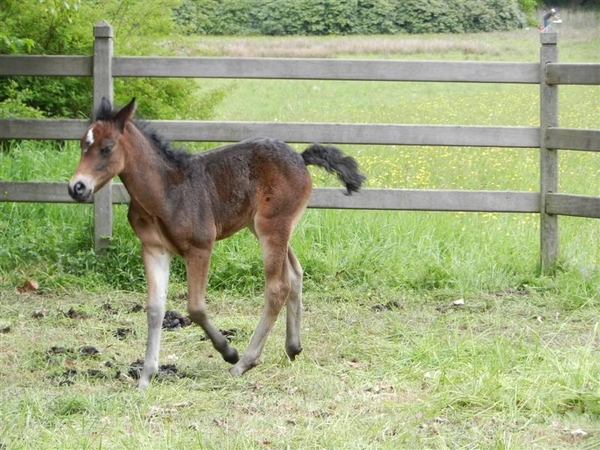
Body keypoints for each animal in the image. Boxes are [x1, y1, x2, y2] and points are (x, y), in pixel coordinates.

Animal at [68, 99, 364, 390]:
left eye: (107, 147)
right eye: (82, 143)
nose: (76, 188)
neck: (165, 191)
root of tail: (301, 158)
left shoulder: (200, 247)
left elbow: (196, 307)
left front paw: (228, 351)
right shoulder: (153, 250)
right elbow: (154, 309)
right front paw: (145, 378)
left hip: (272, 227)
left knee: (277, 287)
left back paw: (244, 362)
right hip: (263, 227)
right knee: (294, 273)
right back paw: (293, 347)